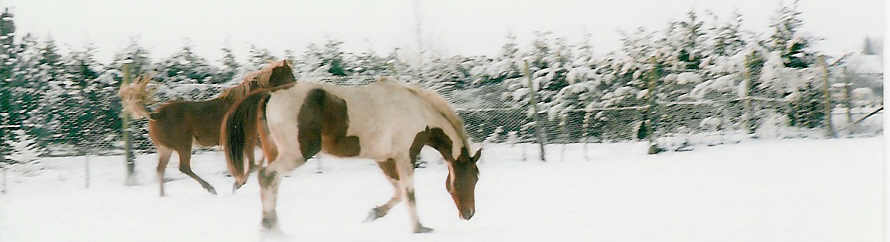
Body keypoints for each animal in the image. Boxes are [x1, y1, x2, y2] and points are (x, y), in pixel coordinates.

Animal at [114, 59, 294, 196]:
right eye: (289, 75)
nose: (296, 86)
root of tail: (154, 115)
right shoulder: (247, 139)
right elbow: (252, 164)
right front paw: (238, 184)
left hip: (166, 149)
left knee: (160, 170)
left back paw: (163, 195)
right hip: (183, 145)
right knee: (184, 167)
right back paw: (210, 188)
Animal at [222, 77, 482, 233]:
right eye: (472, 177)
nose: (469, 214)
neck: (417, 111)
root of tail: (270, 94)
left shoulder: (385, 160)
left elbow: (398, 192)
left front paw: (374, 213)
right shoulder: (404, 156)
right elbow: (409, 193)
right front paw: (419, 228)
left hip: (277, 153)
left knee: (272, 183)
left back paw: (273, 225)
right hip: (295, 155)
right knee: (267, 176)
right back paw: (270, 227)